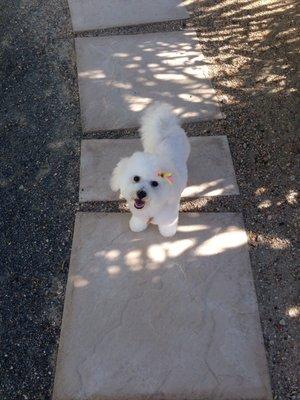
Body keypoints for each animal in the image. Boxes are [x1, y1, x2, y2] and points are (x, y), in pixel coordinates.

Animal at [109, 101, 190, 238]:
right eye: (136, 178)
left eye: (155, 183)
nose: (141, 193)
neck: (150, 208)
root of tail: (166, 126)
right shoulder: (140, 213)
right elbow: (139, 220)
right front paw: (137, 225)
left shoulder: (169, 215)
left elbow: (167, 224)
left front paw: (168, 233)